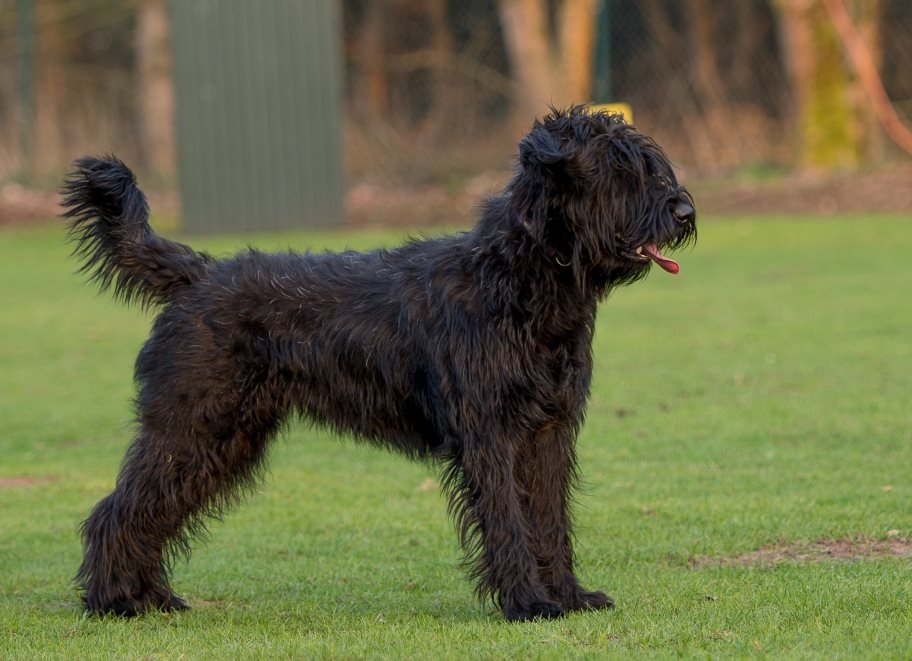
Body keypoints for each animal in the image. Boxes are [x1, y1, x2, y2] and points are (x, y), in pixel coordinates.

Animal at [64, 105, 696, 620]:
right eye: (619, 169)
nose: (685, 210)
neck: (521, 278)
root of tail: (197, 274)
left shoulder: (548, 432)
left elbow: (549, 520)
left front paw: (568, 595)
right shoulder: (489, 433)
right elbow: (508, 521)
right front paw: (528, 603)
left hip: (226, 439)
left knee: (153, 509)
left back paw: (150, 595)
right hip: (192, 426)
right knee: (117, 509)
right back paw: (115, 600)